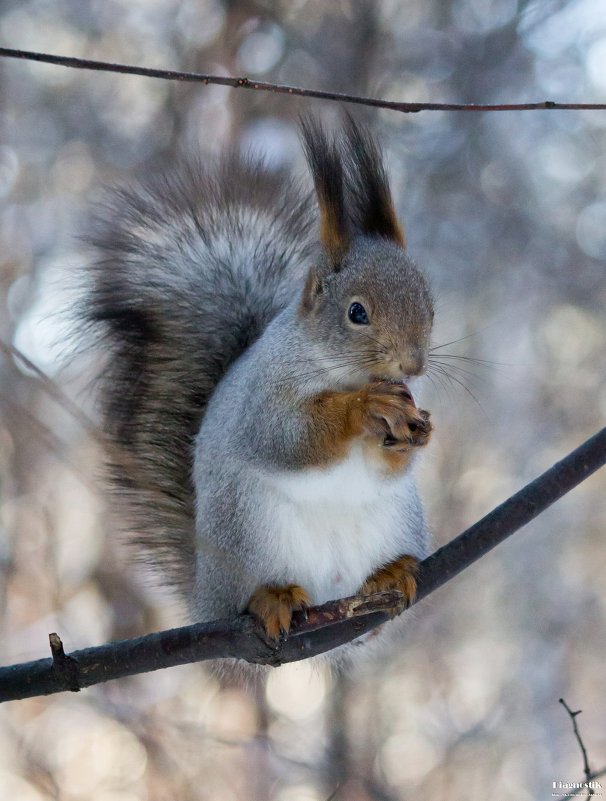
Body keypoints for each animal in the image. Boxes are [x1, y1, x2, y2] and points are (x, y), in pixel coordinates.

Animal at [83, 115, 434, 664]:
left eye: (429, 302)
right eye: (356, 312)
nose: (413, 364)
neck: (336, 368)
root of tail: (205, 596)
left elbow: (387, 465)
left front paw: (416, 433)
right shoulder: (262, 397)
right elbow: (287, 438)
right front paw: (361, 409)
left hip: (396, 520)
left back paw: (390, 574)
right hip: (246, 531)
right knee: (252, 593)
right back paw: (271, 599)